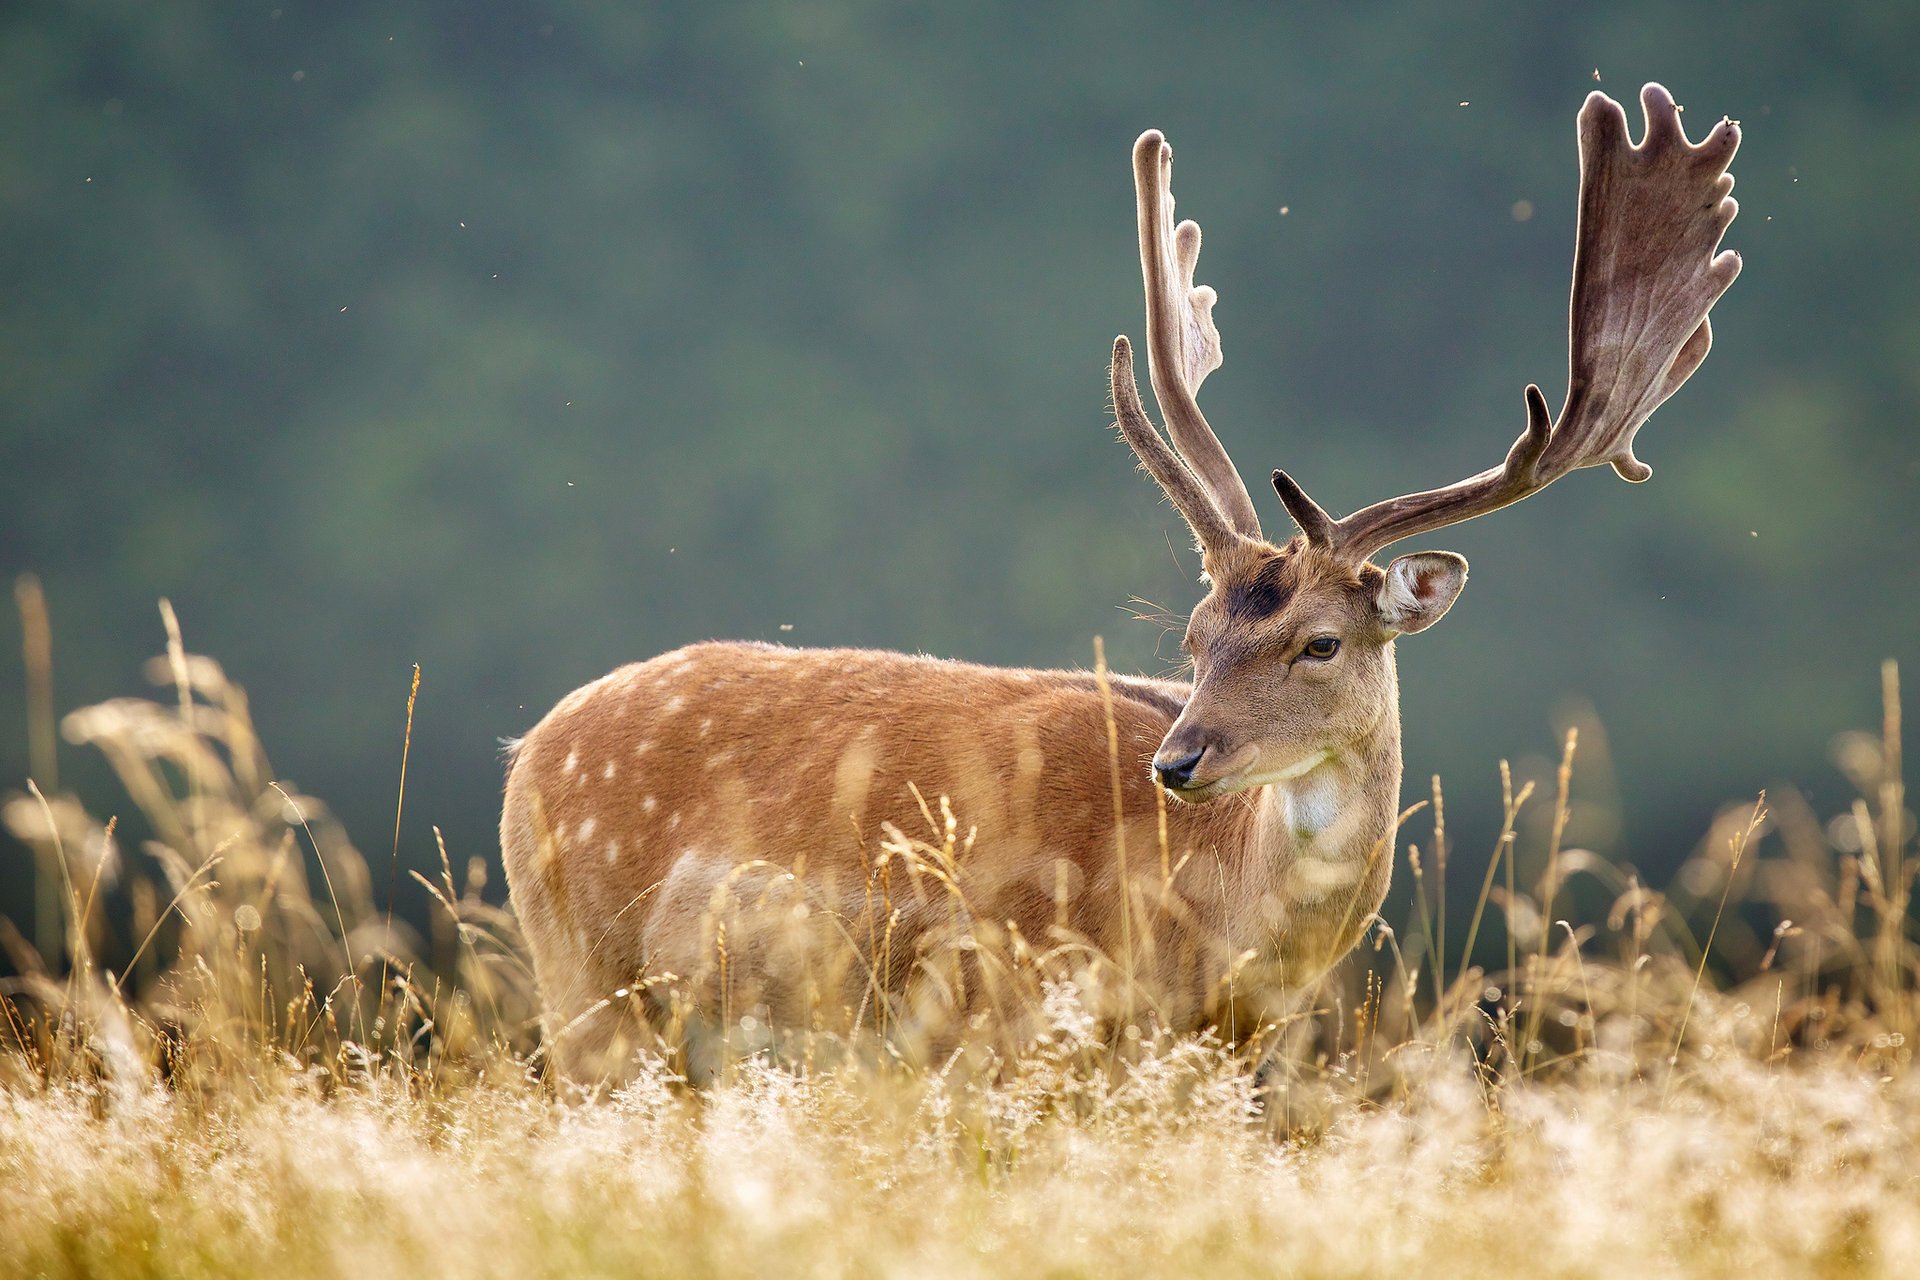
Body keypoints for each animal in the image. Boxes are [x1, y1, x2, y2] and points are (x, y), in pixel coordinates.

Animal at [503, 82, 1751, 1082]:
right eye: (1193, 637)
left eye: (1320, 640)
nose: (1179, 759)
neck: (1218, 936)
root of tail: (527, 750)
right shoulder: (1005, 1013)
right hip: (585, 983)